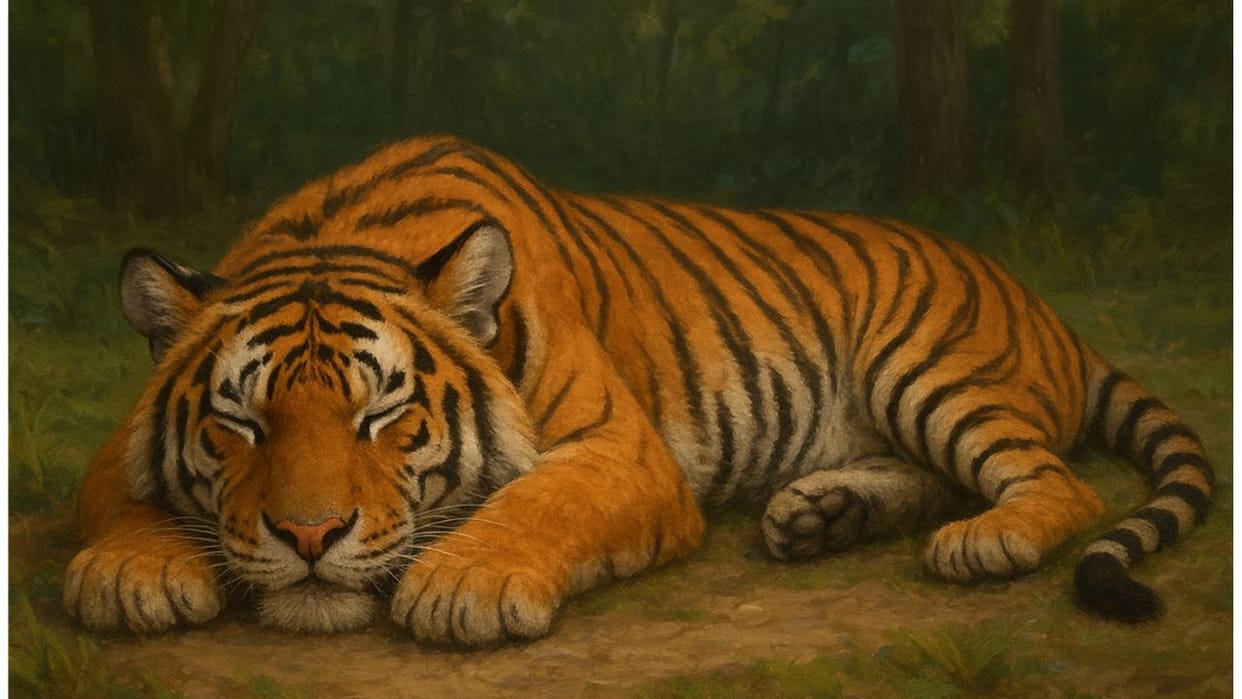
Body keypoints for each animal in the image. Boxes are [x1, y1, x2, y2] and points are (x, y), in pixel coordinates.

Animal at [63, 134, 1213, 644]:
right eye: (240, 421)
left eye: (382, 415)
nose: (309, 538)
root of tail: (1045, 304)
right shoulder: (118, 439)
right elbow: (122, 494)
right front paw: (130, 573)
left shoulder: (623, 446)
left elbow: (541, 499)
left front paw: (466, 585)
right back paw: (822, 514)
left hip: (928, 366)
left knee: (1061, 485)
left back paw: (984, 542)